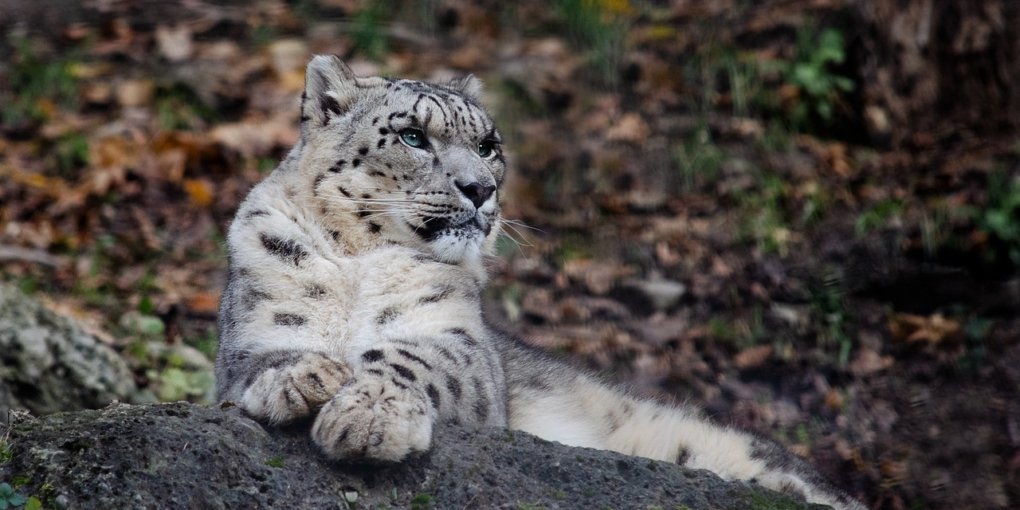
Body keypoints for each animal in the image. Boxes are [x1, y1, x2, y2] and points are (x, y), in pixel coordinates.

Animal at [215, 55, 865, 510]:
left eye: (488, 146)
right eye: (412, 136)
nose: (481, 189)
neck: (360, 259)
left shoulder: (461, 343)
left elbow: (409, 358)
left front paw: (369, 417)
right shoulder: (249, 328)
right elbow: (262, 355)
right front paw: (302, 378)